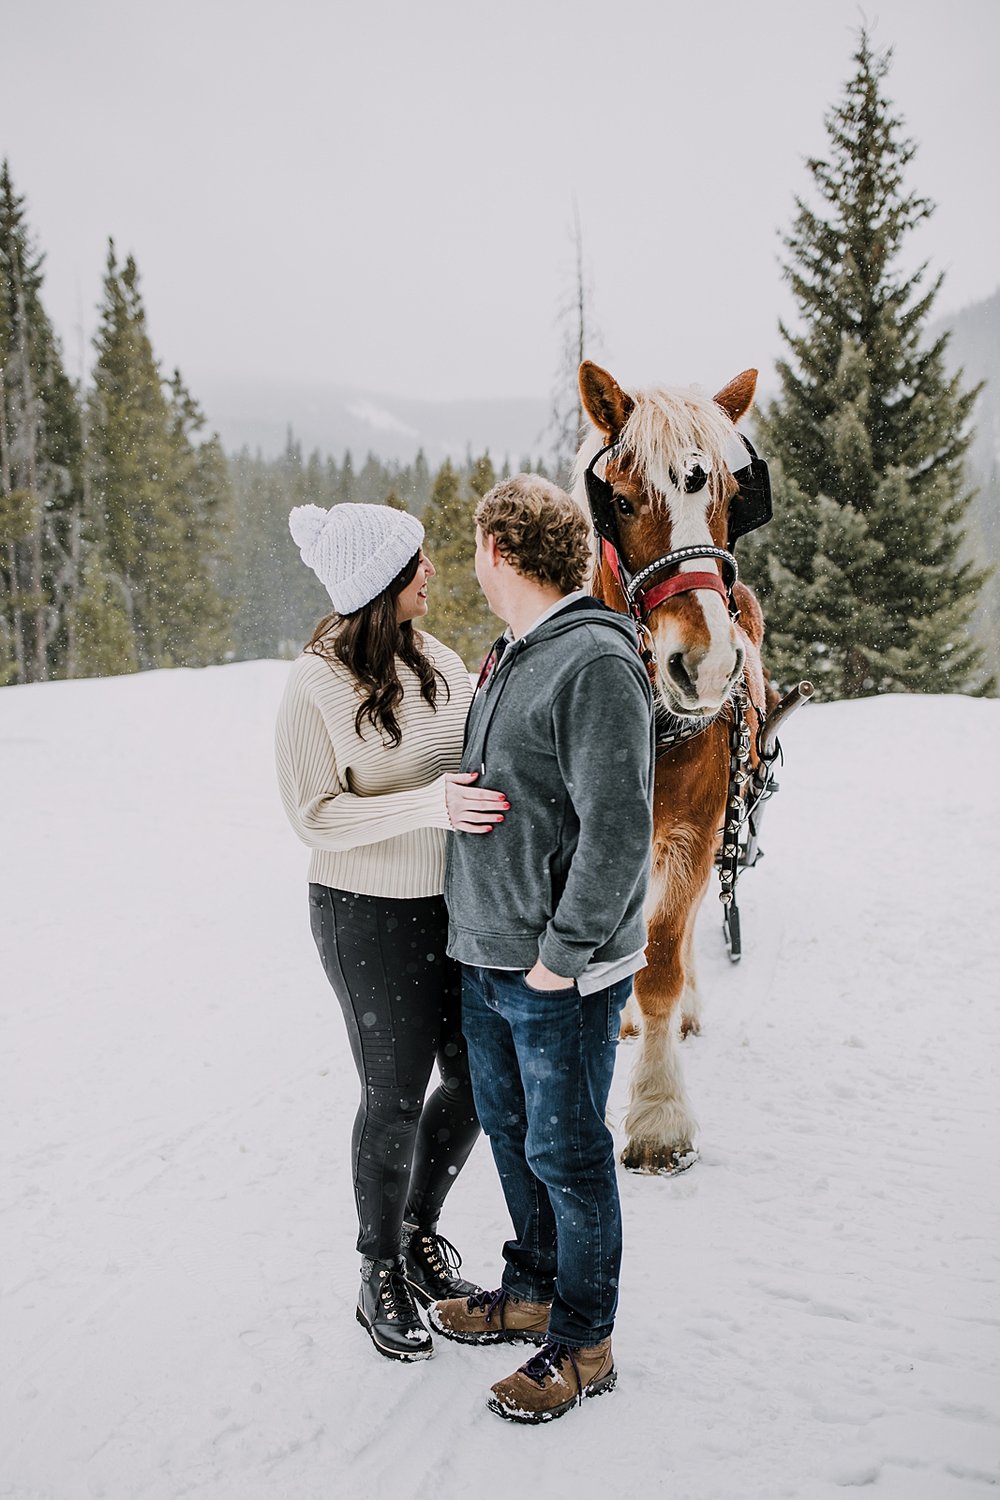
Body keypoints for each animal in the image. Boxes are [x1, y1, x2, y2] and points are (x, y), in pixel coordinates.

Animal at [569, 360, 773, 1170]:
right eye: (622, 501)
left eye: (726, 500)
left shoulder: (692, 830)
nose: (708, 664)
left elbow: (660, 963)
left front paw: (658, 1118)